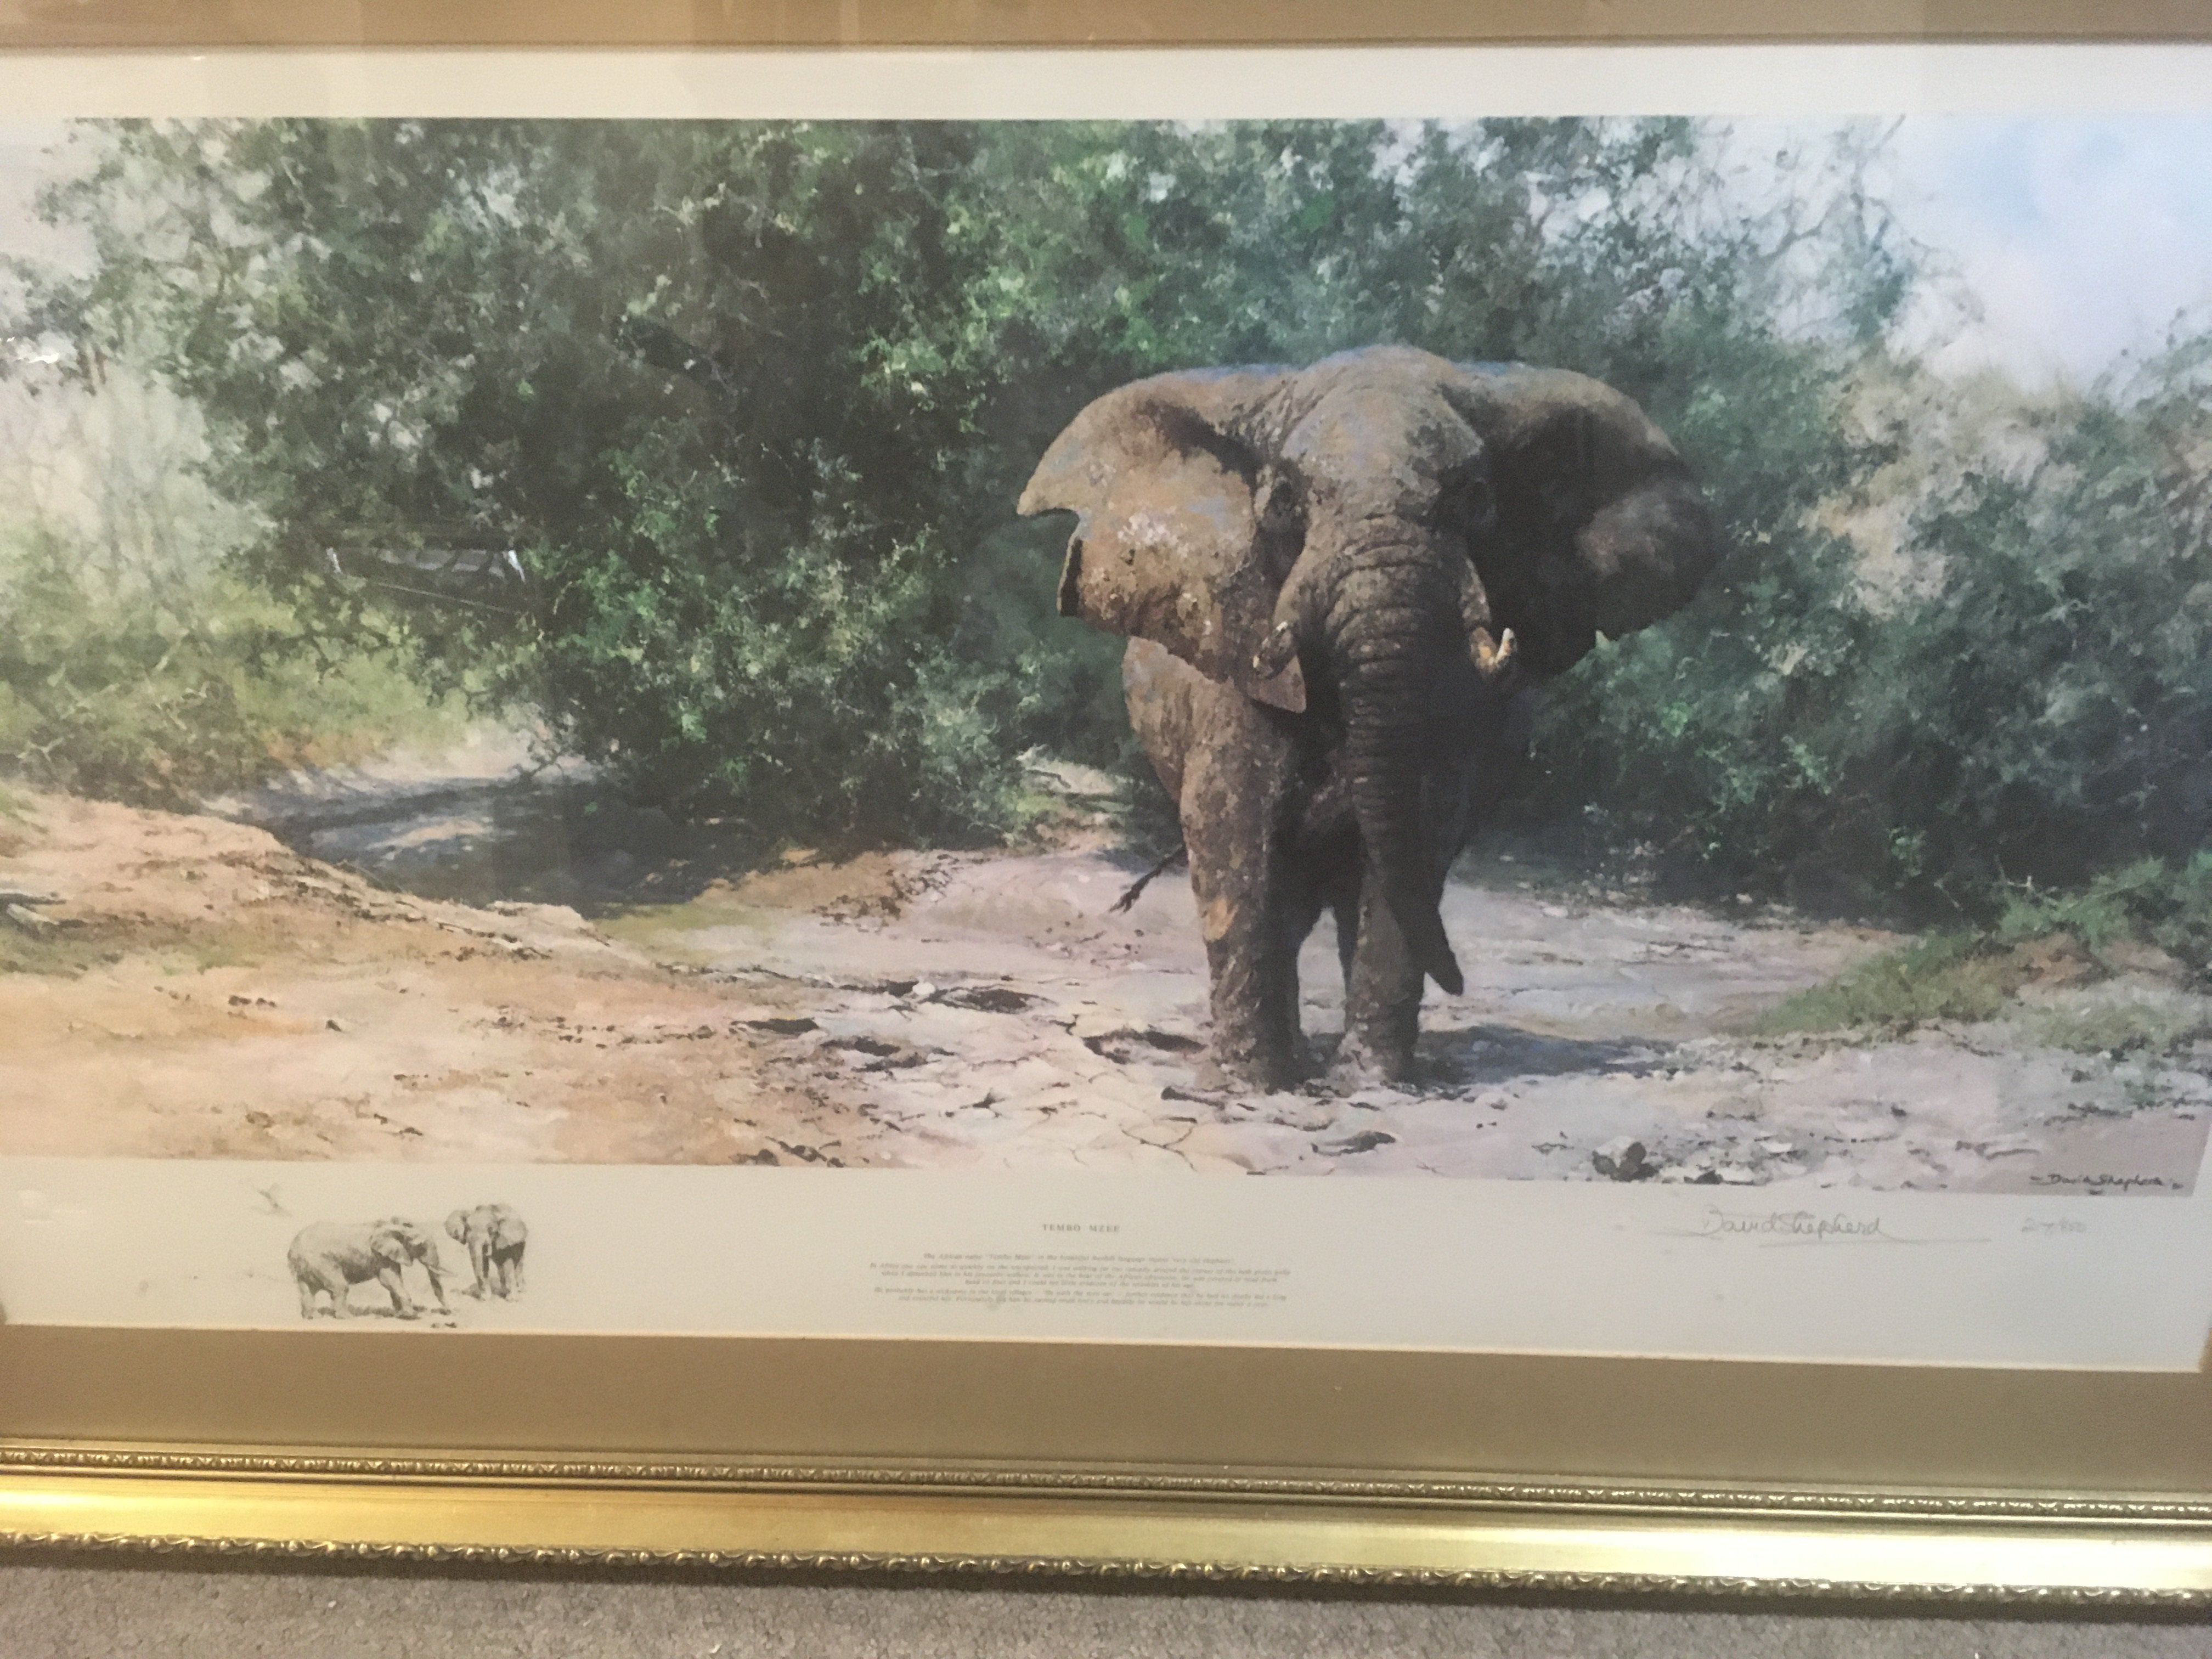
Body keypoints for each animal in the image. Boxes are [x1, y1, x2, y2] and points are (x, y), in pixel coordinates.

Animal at [288, 1217, 451, 1320]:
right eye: (422, 1247)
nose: (447, 1312)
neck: (394, 1226)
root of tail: (294, 1246)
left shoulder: (389, 1255)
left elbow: (395, 1280)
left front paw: (400, 1315)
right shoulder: (380, 1255)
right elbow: (390, 1280)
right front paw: (412, 1316)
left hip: (306, 1266)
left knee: (307, 1290)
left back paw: (313, 1318)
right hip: (321, 1262)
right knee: (340, 1286)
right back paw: (347, 1318)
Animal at [444, 1204, 528, 1299]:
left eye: (490, 1229)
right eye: (468, 1228)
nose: (482, 1297)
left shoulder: (507, 1240)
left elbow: (508, 1265)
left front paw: (512, 1299)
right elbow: (484, 1265)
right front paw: (487, 1298)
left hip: (522, 1244)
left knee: (518, 1263)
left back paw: (521, 1290)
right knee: (500, 1266)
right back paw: (503, 1292)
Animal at [1020, 345, 1720, 1090]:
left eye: (1476, 496)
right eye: (1285, 498)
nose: (1460, 985)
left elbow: (1415, 835)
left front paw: (1371, 1083)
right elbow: (1233, 829)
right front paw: (1250, 1084)